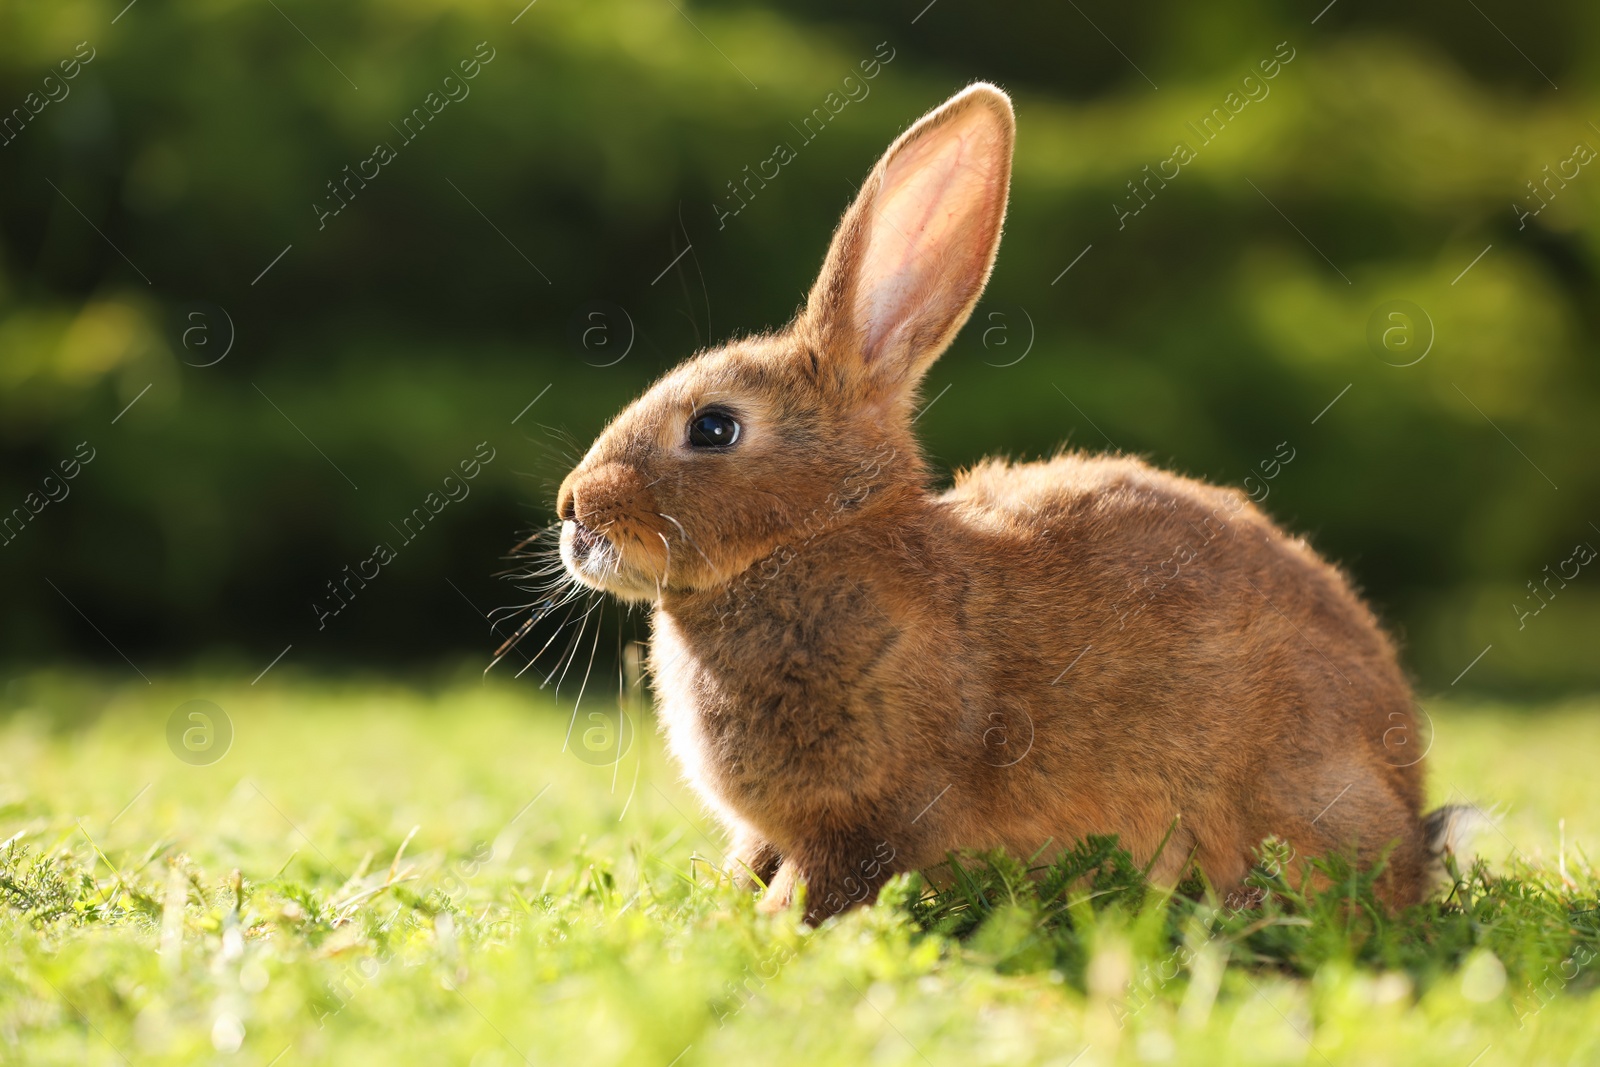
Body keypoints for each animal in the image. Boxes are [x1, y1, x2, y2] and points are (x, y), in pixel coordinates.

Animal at [553, 83, 1472, 921]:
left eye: (713, 427)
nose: (572, 511)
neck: (820, 535)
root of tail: (1409, 812)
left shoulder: (868, 814)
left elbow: (820, 878)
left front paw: (765, 932)